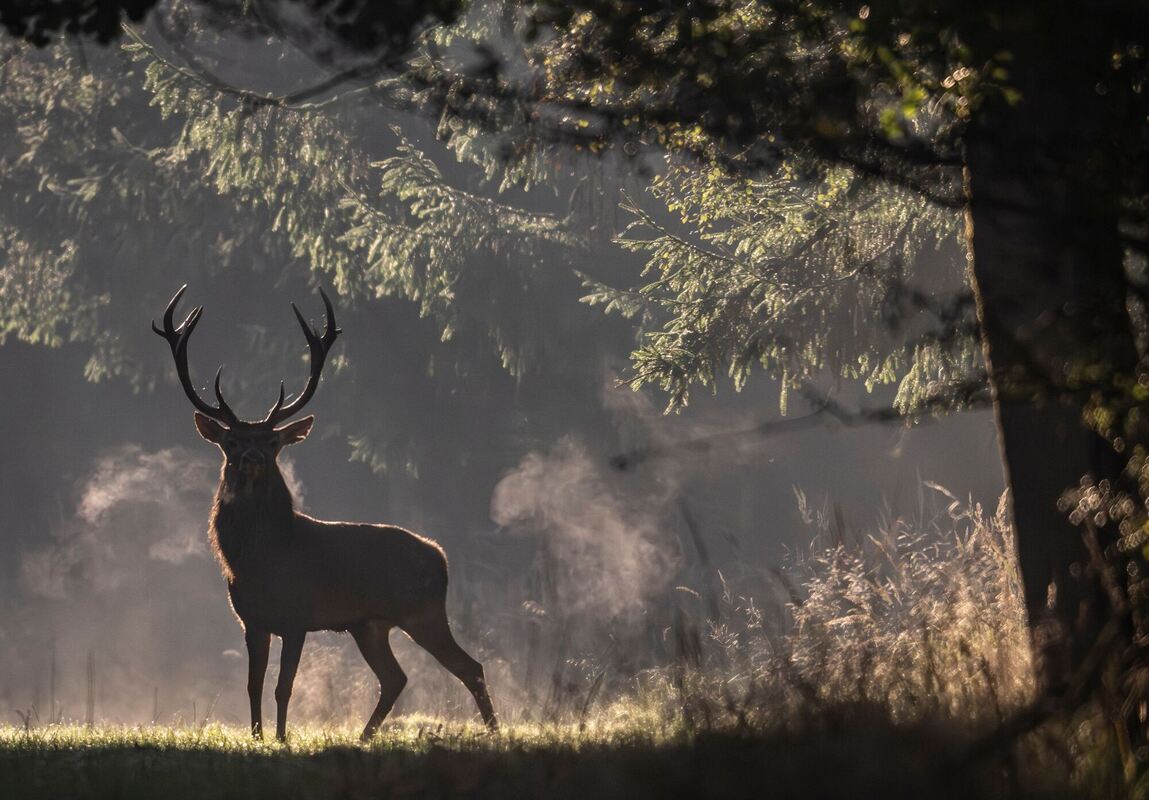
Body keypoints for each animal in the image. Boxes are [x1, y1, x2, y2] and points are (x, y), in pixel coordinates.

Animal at [153, 285, 498, 741]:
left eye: (273, 442)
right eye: (231, 442)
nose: (251, 458)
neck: (259, 561)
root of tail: (440, 557)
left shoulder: (298, 616)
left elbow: (284, 686)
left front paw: (281, 737)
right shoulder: (251, 621)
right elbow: (253, 685)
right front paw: (258, 737)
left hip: (422, 611)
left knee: (469, 667)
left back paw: (495, 731)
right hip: (369, 624)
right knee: (396, 677)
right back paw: (365, 735)